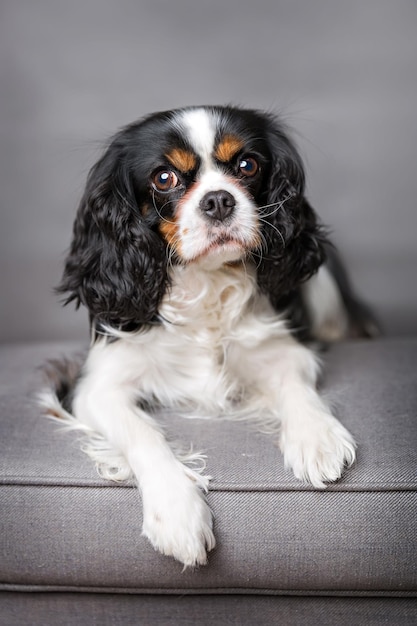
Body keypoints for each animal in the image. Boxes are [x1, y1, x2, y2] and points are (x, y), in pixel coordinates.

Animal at [41, 103, 376, 564]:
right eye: (164, 178)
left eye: (247, 165)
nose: (218, 200)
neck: (206, 283)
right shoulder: (95, 387)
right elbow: (142, 433)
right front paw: (176, 511)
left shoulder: (283, 351)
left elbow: (296, 387)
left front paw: (316, 436)